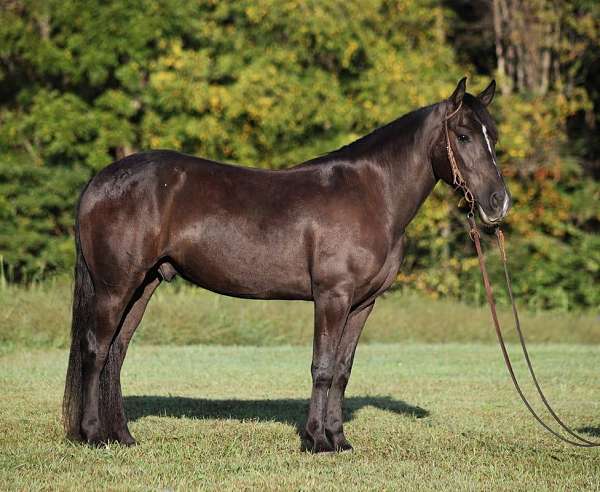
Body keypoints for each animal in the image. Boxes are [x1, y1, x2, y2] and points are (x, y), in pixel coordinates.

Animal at [62, 79, 510, 452]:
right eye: (464, 135)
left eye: (494, 136)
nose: (499, 202)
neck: (371, 194)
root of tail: (100, 181)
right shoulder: (332, 296)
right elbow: (323, 368)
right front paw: (316, 441)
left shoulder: (362, 304)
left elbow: (343, 371)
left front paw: (338, 440)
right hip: (115, 287)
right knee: (96, 349)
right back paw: (91, 435)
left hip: (144, 285)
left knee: (117, 352)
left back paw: (121, 436)